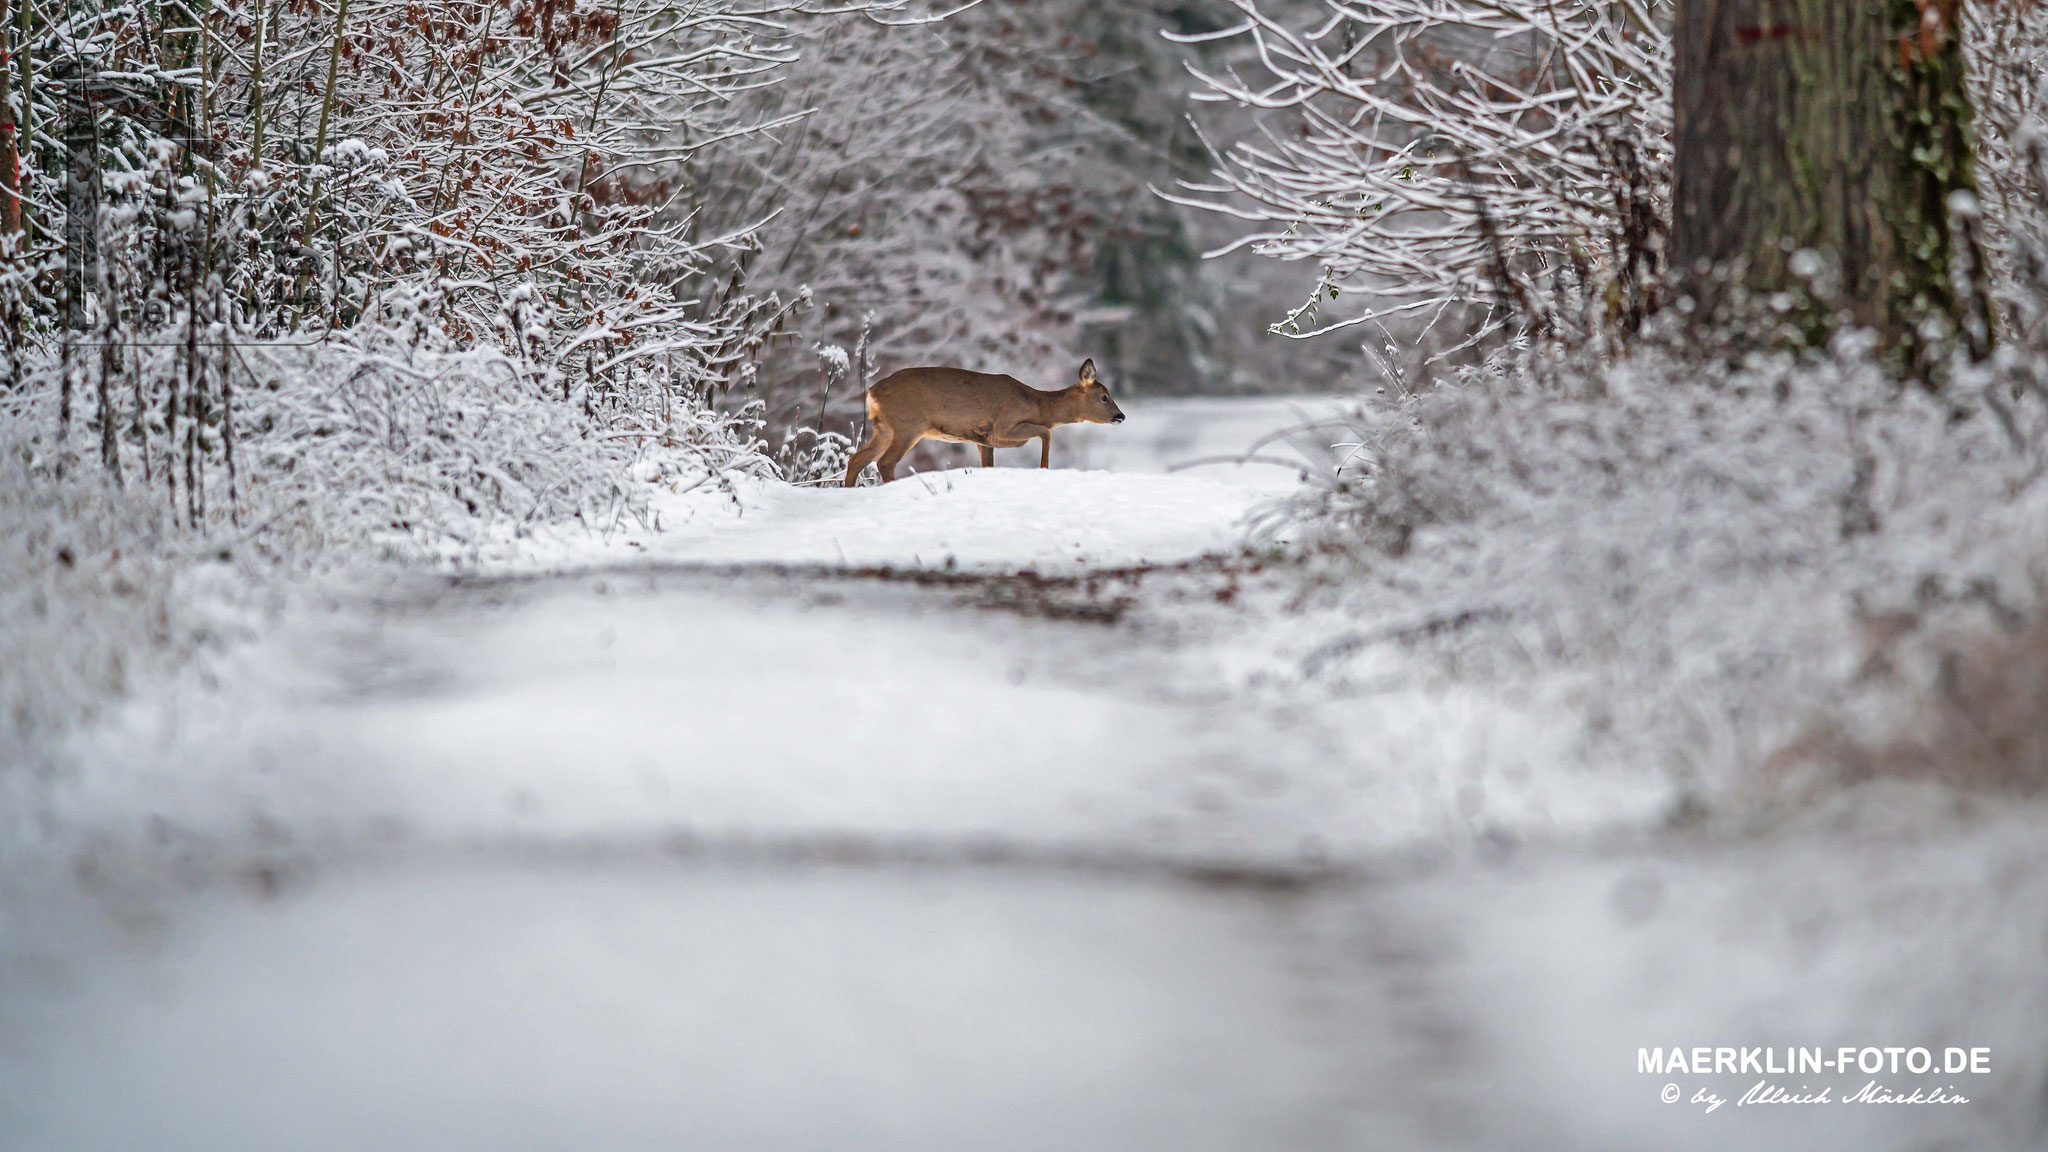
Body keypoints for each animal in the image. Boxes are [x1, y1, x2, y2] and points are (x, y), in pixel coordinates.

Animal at [835, 358, 1122, 483]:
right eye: (1104, 397)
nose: (1121, 415)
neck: (1036, 403)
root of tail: (871, 392)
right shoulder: (1002, 426)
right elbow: (1045, 432)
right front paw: (1043, 468)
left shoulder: (982, 440)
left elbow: (988, 465)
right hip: (908, 425)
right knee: (884, 462)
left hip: (884, 428)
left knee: (857, 459)